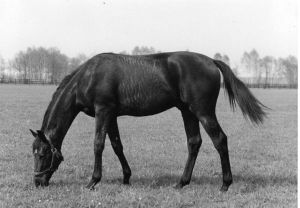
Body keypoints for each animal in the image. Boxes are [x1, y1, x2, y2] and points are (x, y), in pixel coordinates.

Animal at [29, 51, 264, 191]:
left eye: (42, 154)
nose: (38, 182)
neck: (88, 77)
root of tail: (210, 61)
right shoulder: (111, 115)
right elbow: (117, 145)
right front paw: (126, 178)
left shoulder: (103, 111)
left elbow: (98, 145)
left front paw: (93, 181)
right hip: (187, 112)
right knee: (194, 142)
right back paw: (181, 183)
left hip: (203, 112)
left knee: (220, 140)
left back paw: (225, 184)